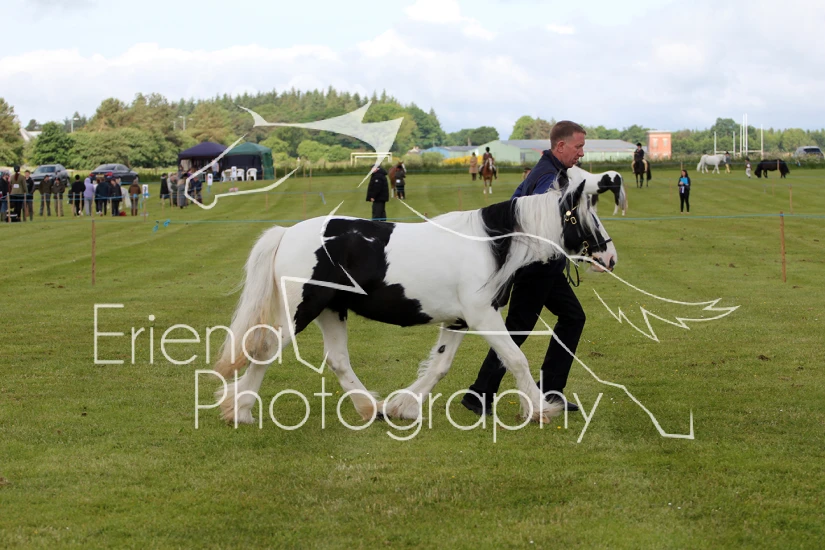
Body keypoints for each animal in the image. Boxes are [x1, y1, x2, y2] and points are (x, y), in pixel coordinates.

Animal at [212, 181, 617, 426]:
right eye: (588, 215)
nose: (610, 257)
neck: (490, 245)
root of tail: (286, 234)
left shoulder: (458, 321)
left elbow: (439, 366)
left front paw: (403, 406)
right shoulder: (482, 316)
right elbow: (516, 359)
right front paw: (540, 409)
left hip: (331, 311)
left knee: (338, 360)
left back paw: (371, 408)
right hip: (301, 311)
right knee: (263, 350)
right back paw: (240, 411)